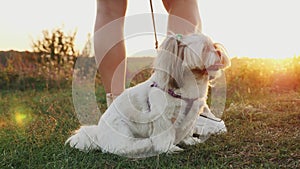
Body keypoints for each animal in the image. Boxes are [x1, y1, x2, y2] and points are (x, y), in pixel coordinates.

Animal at [65, 33, 230, 158]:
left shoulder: (190, 116)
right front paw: (169, 148)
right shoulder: (162, 119)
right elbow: (164, 138)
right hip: (122, 129)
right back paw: (144, 145)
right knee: (123, 147)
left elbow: (187, 132)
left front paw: (189, 141)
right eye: (205, 49)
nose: (218, 51)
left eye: (214, 45)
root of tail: (98, 133)